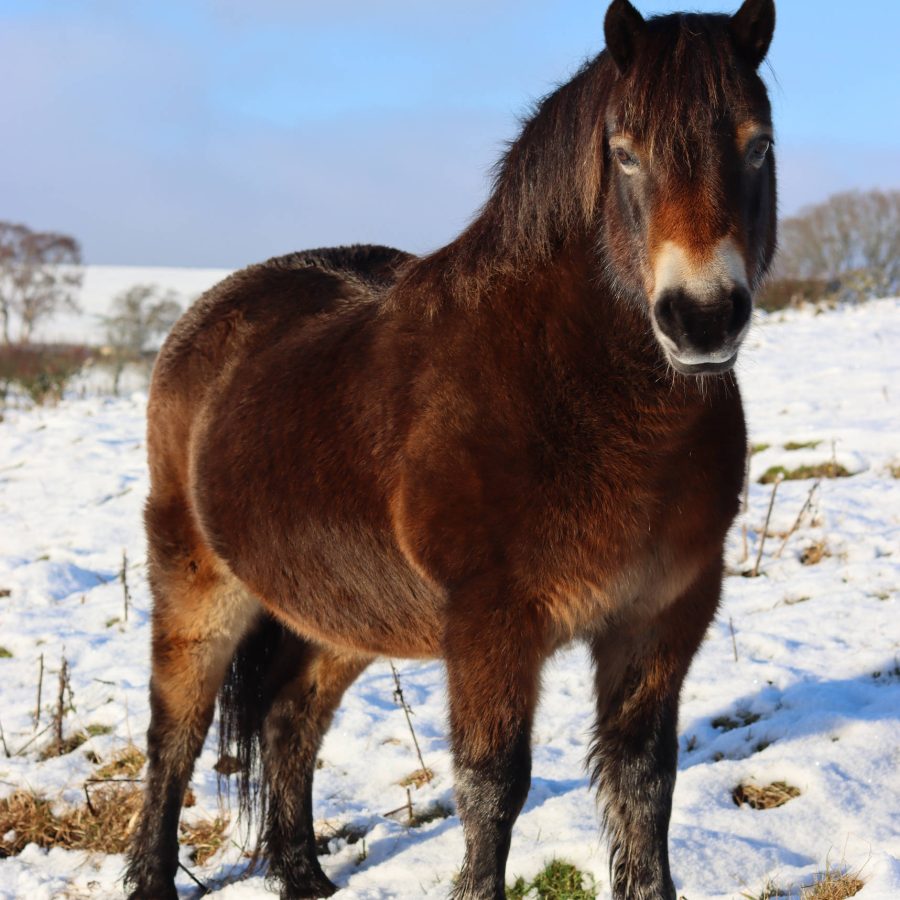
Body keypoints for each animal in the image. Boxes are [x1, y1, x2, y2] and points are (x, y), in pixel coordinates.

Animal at [125, 0, 772, 896]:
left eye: (758, 143)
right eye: (625, 152)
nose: (702, 318)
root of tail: (206, 317)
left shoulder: (662, 617)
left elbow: (644, 787)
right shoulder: (491, 627)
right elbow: (492, 789)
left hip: (344, 614)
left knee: (292, 721)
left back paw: (305, 874)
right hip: (197, 587)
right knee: (173, 738)